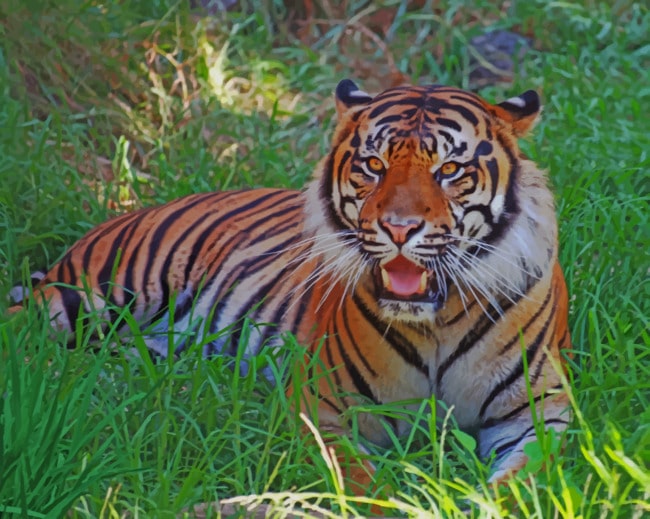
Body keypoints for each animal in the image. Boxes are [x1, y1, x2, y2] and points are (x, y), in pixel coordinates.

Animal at [9, 79, 572, 491]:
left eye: (450, 169)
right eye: (374, 165)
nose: (398, 228)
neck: (435, 324)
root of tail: (126, 211)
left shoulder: (540, 412)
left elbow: (526, 479)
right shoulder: (326, 409)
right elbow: (362, 481)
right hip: (93, 295)